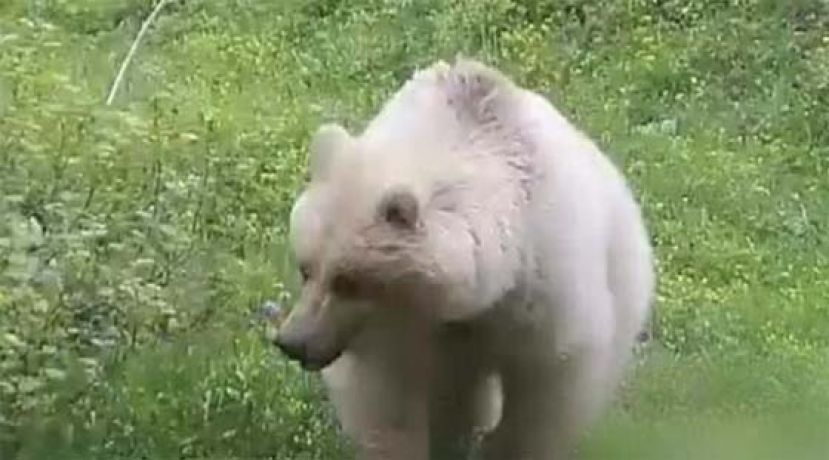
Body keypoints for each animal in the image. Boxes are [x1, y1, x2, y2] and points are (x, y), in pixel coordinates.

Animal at [274, 56, 655, 460]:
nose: (291, 341)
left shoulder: (544, 289)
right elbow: (389, 401)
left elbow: (546, 387)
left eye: (348, 280)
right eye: (306, 268)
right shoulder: (406, 336)